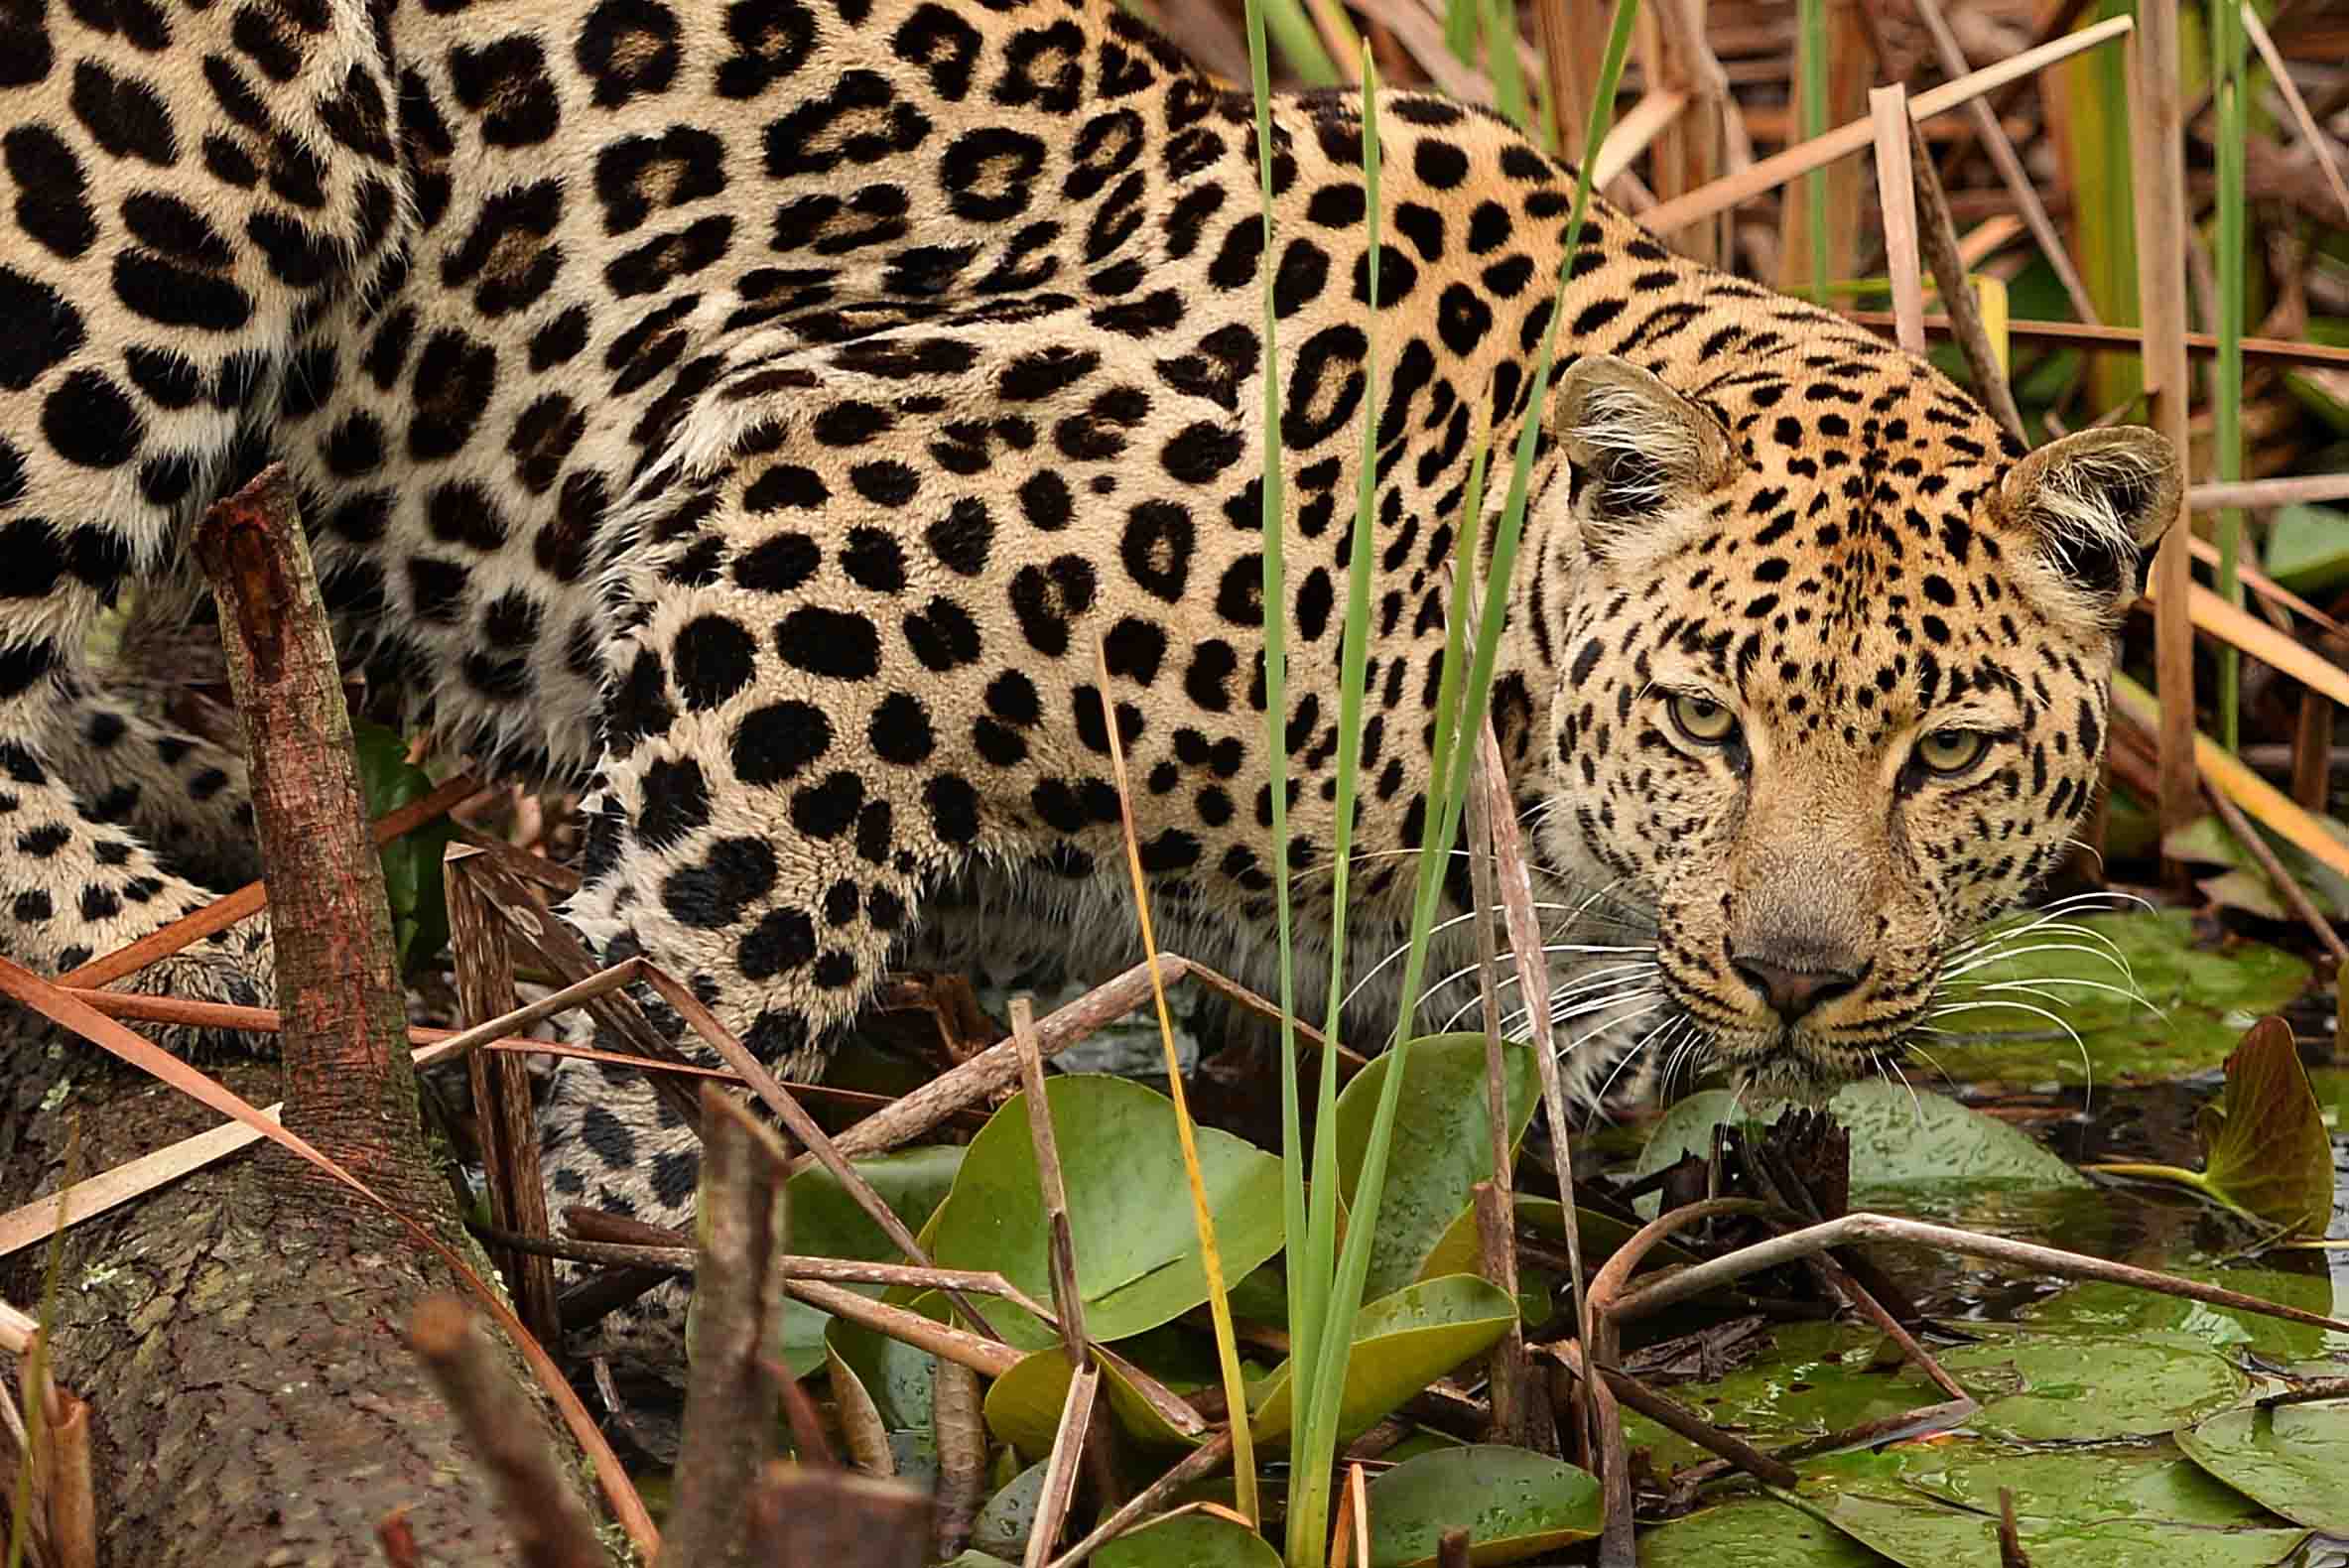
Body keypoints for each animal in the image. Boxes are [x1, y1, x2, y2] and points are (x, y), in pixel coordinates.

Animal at [2, 0, 2176, 1356]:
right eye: (1707, 720)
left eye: (1945, 752)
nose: (1802, 974)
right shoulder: (809, 513)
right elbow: (699, 986)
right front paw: (646, 1273)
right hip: (157, 172)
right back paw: (204, 950)